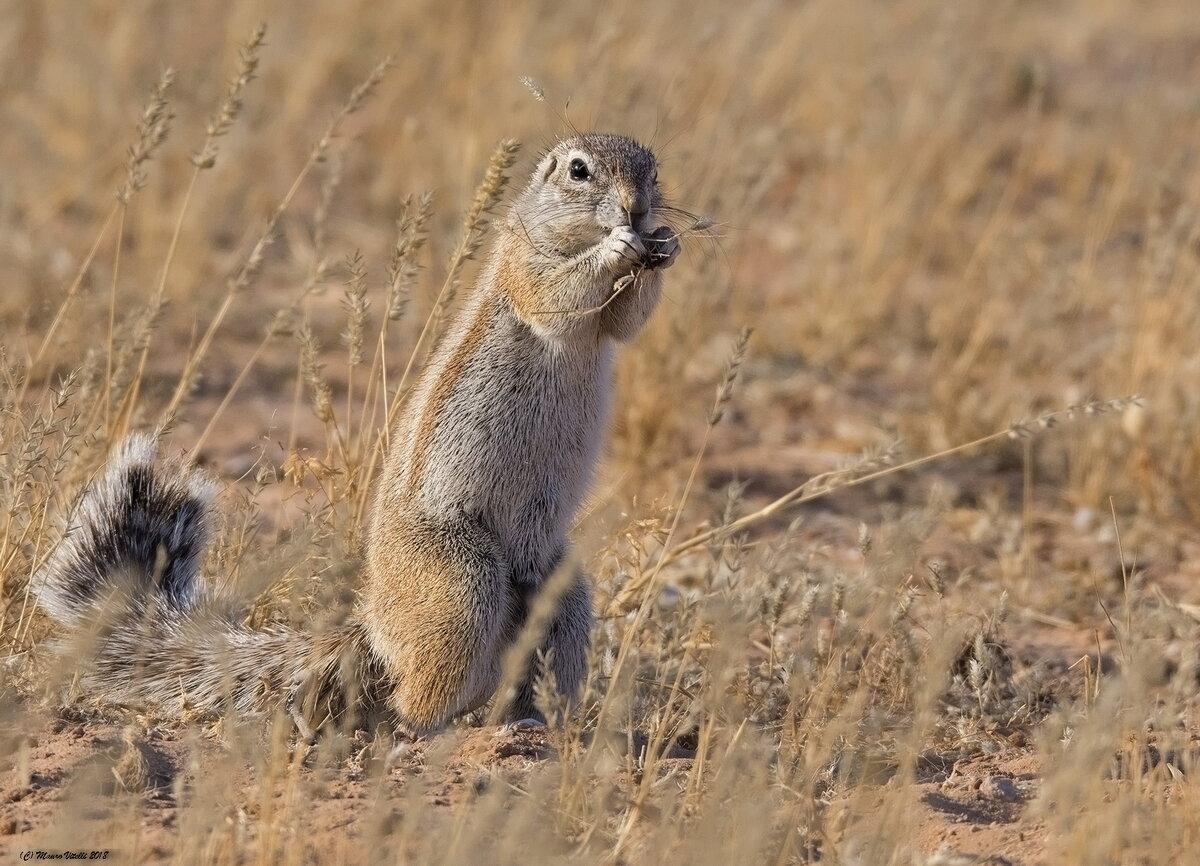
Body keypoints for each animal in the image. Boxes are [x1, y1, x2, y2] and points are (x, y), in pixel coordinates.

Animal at [32, 133, 681, 734]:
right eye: (579, 171)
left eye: (654, 169)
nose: (637, 209)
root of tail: (374, 628)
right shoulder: (524, 267)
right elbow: (557, 296)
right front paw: (619, 247)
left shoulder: (609, 319)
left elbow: (627, 322)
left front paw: (664, 244)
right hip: (461, 583)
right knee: (419, 692)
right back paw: (429, 728)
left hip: (560, 587)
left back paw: (534, 723)